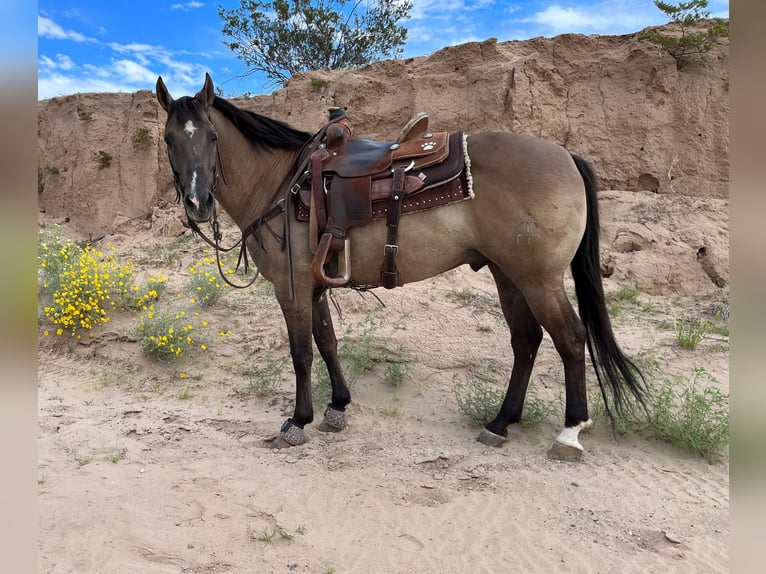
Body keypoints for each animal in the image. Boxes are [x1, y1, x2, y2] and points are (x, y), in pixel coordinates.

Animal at [158, 74, 648, 462]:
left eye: (212, 137)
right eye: (169, 140)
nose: (198, 203)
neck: (282, 183)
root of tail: (567, 157)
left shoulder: (290, 287)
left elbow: (301, 354)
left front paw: (298, 421)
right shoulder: (314, 286)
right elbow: (327, 343)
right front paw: (338, 406)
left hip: (538, 279)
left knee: (570, 338)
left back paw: (569, 432)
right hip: (508, 275)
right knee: (526, 340)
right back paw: (500, 423)